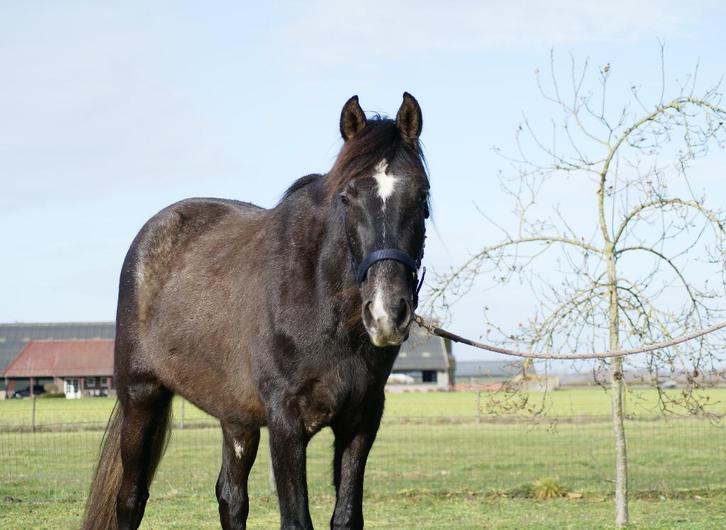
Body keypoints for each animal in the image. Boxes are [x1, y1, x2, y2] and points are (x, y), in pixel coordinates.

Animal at [82, 92, 430, 530]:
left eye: (422, 196)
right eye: (347, 199)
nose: (386, 313)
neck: (320, 307)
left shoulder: (362, 419)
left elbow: (347, 516)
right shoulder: (285, 420)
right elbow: (296, 519)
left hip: (236, 417)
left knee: (231, 498)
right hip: (141, 396)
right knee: (131, 497)